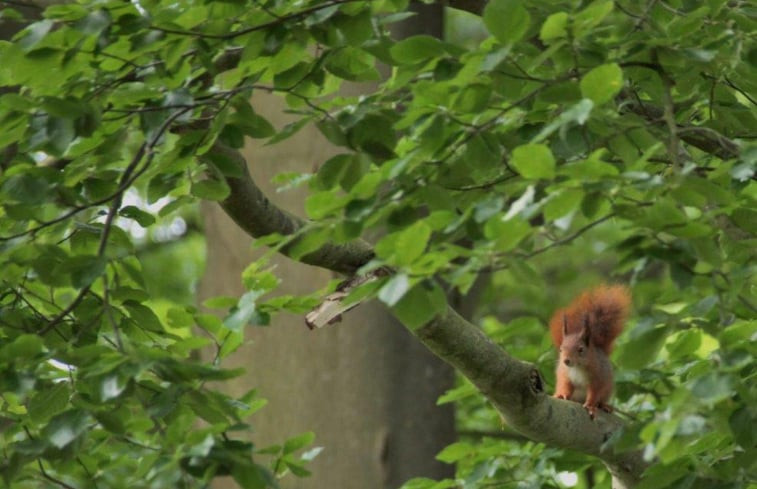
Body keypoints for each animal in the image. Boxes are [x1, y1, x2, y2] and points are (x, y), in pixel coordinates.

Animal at [548, 284, 632, 418]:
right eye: (561, 349)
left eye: (581, 349)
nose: (566, 361)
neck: (577, 367)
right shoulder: (565, 374)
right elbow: (565, 385)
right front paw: (561, 394)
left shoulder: (598, 377)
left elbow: (594, 393)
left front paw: (591, 406)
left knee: (601, 399)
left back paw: (604, 405)